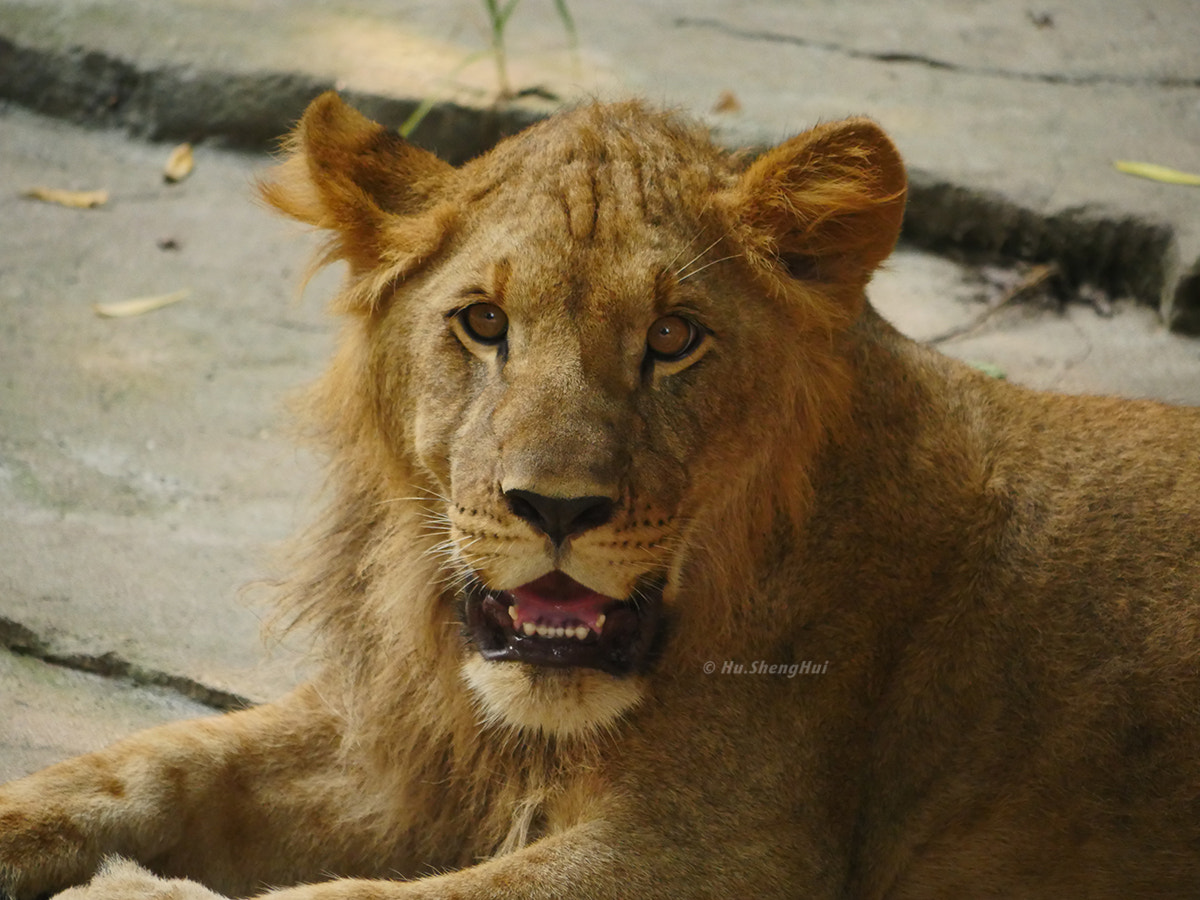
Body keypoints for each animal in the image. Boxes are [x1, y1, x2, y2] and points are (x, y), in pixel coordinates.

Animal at [2, 92, 1199, 900]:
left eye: (672, 338)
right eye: (484, 322)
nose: (558, 509)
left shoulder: (719, 850)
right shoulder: (402, 746)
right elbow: (163, 756)